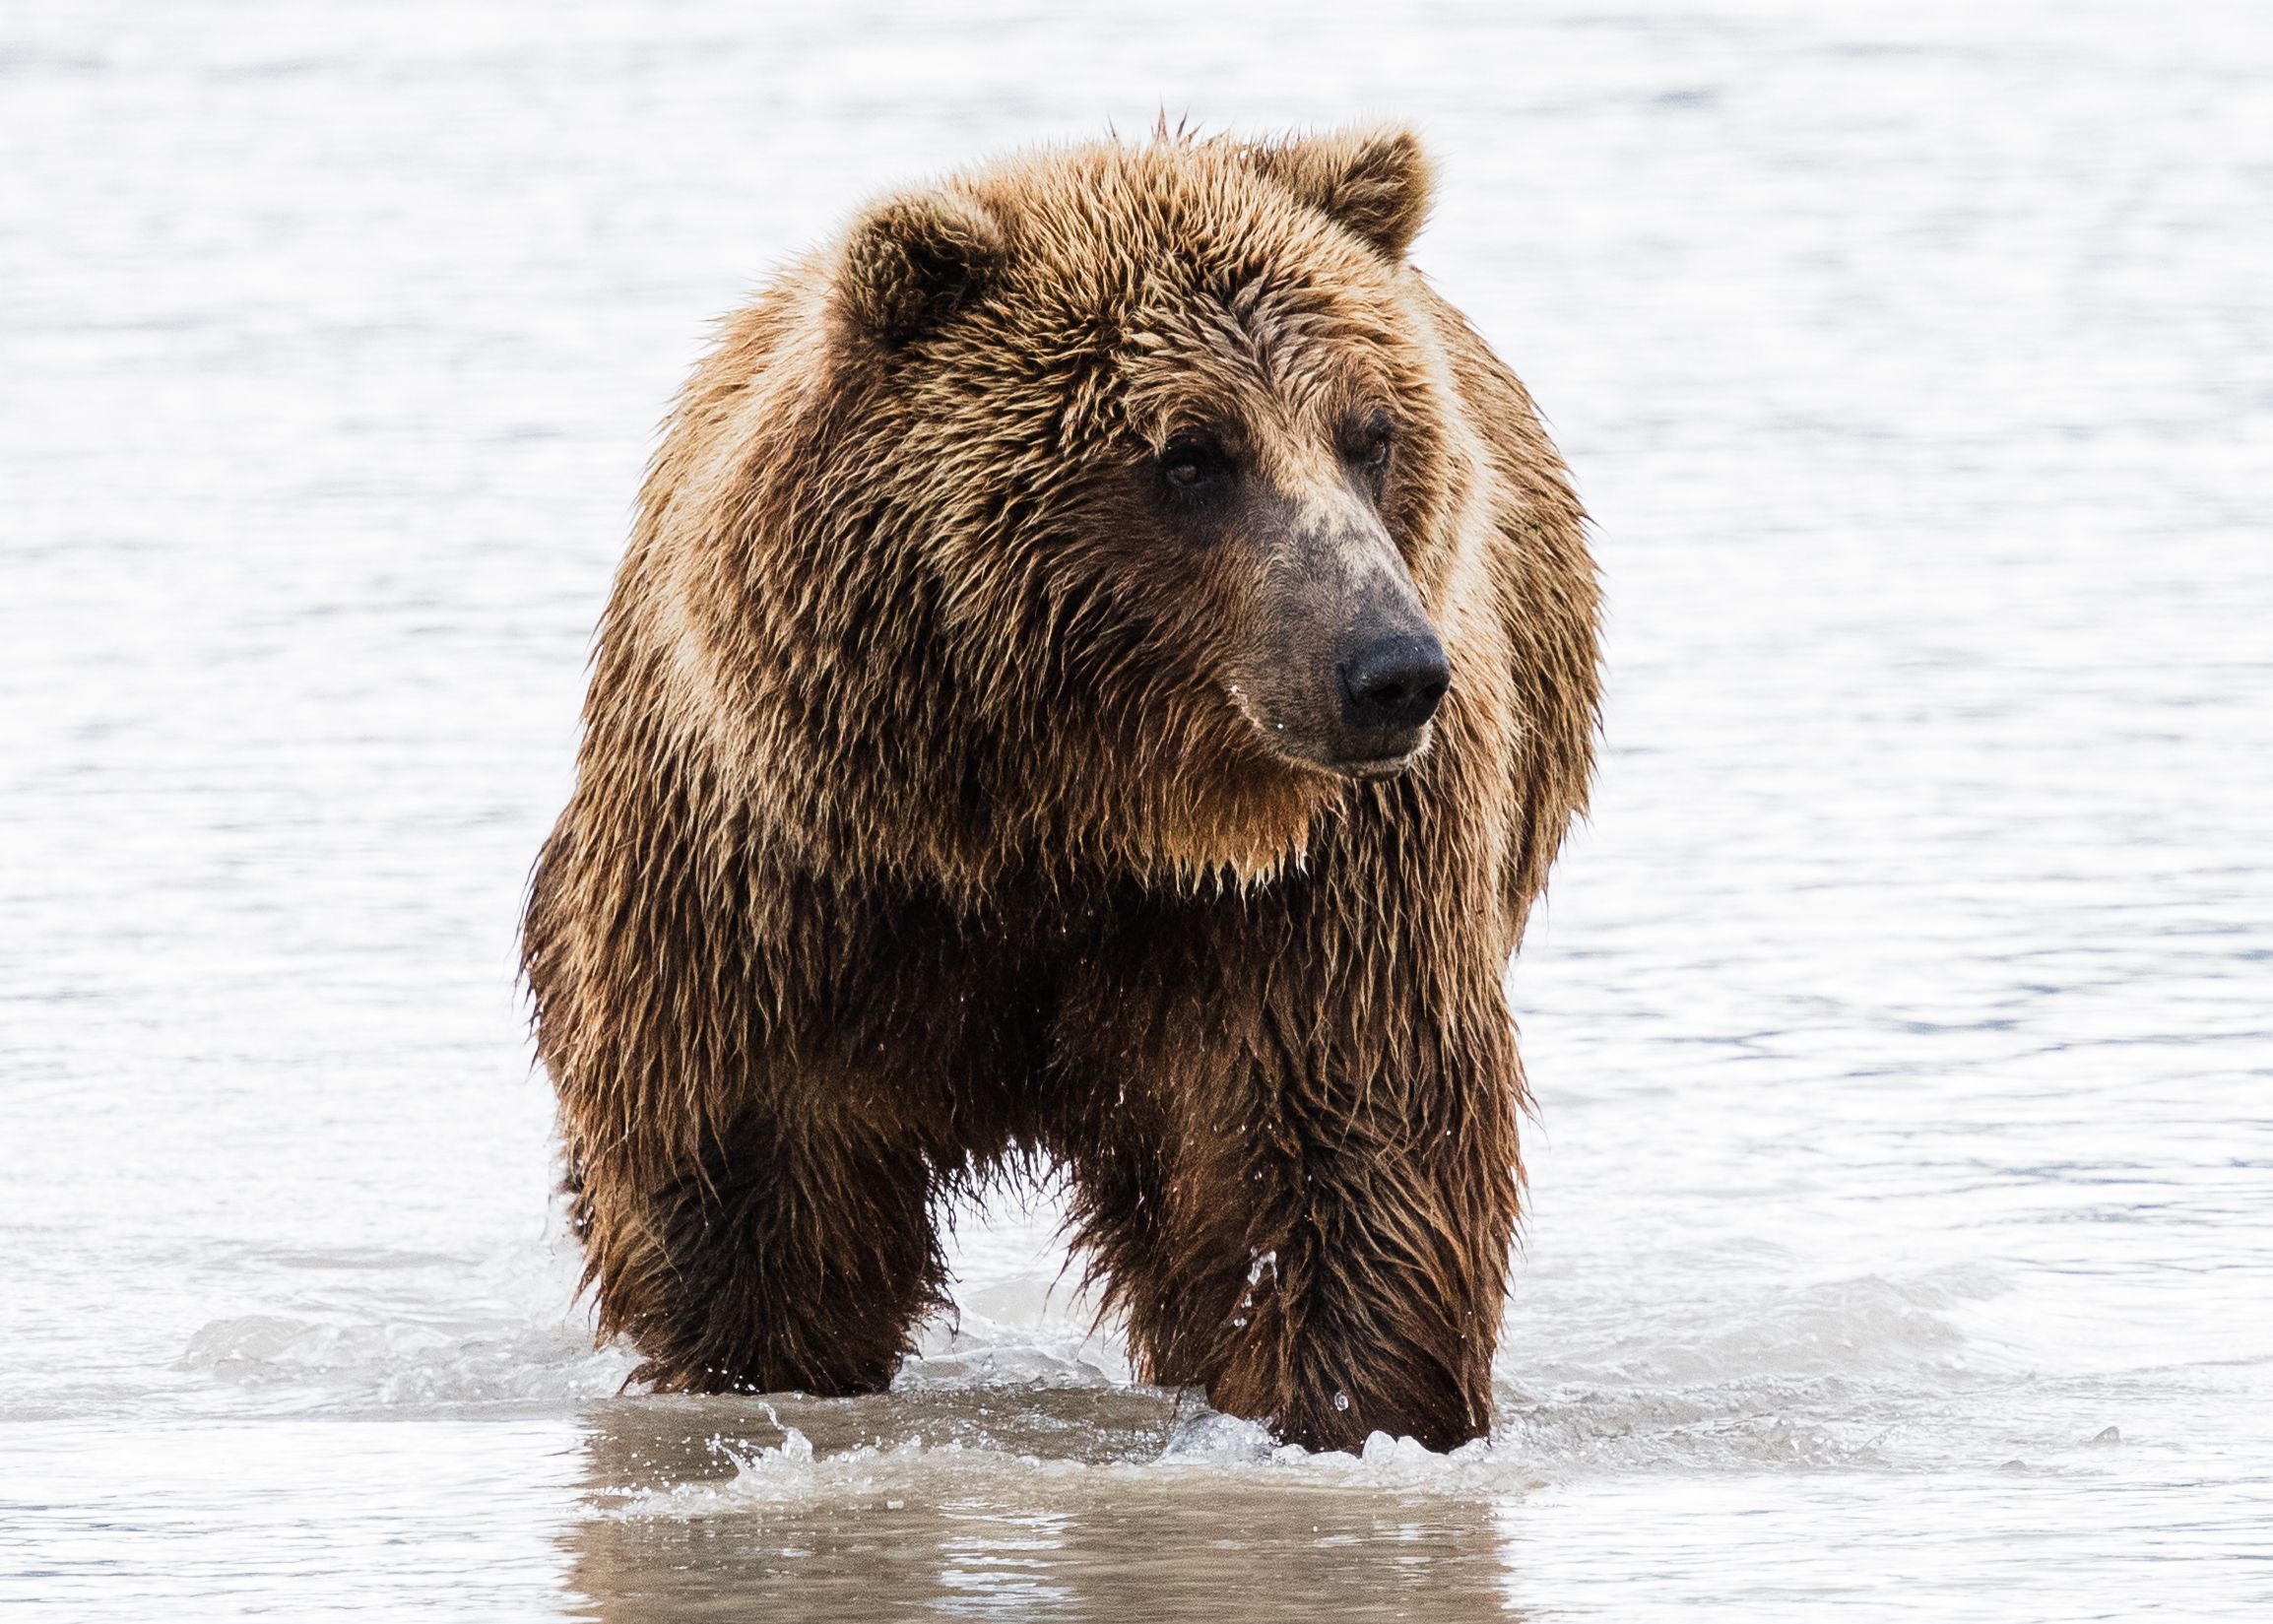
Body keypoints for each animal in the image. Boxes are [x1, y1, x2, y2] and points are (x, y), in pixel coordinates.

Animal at [522, 124, 1599, 1454]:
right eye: (1190, 456)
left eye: (1372, 433)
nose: (1391, 668)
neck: (1068, 806)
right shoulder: (789, 859)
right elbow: (750, 1173)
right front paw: (759, 1363)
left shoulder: (1312, 891)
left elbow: (1348, 1147)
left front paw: (1346, 1407)